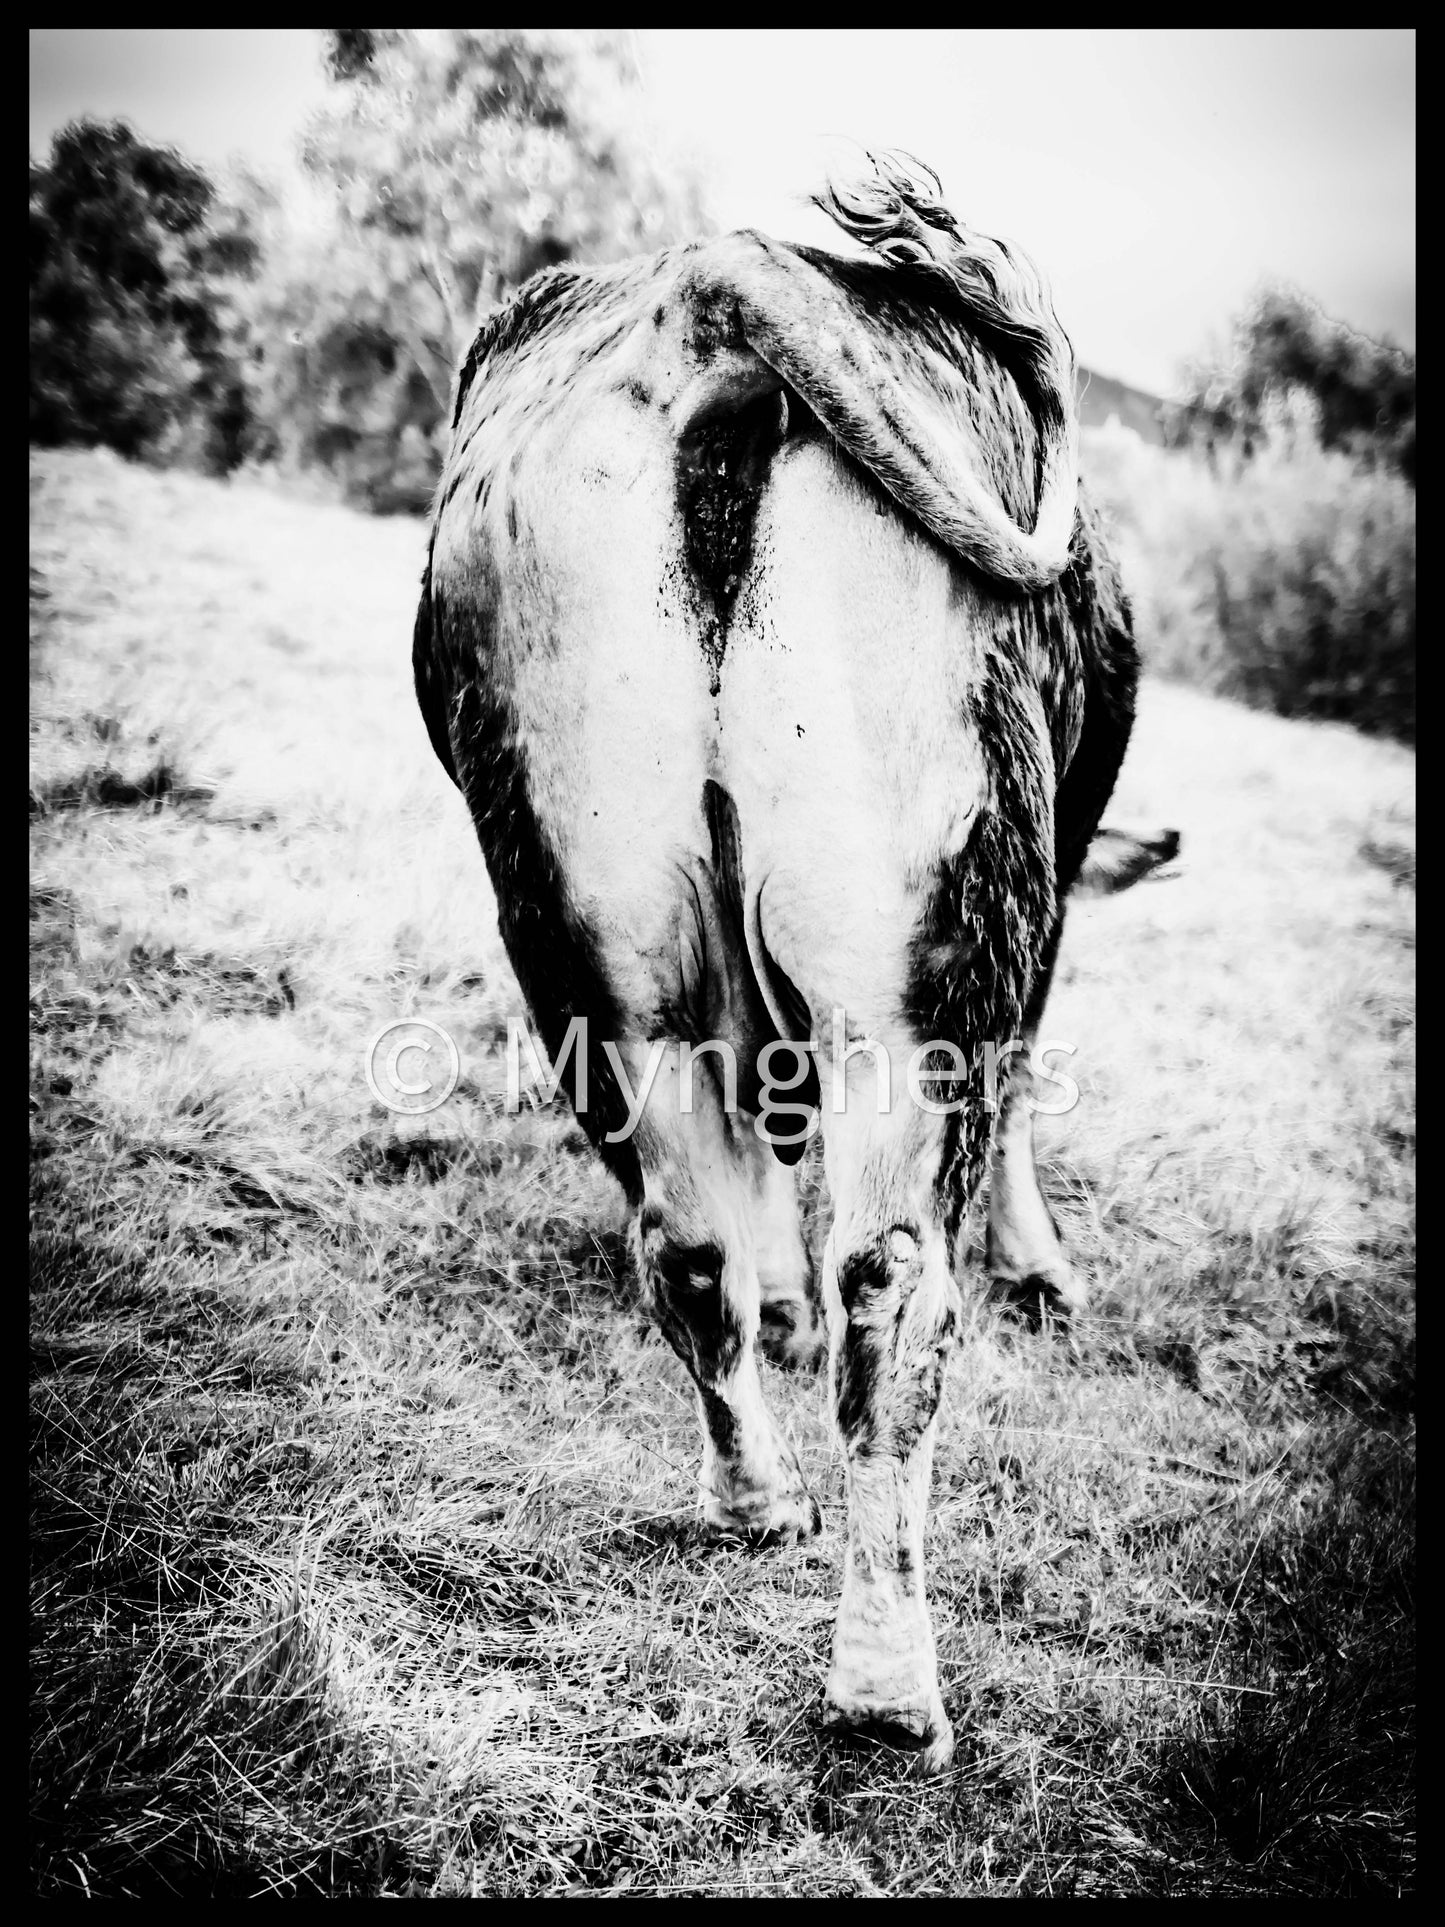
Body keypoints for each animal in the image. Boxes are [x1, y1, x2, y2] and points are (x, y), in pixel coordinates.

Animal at [416, 158, 1156, 1765]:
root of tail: (712, 286)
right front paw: (1041, 1262)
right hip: (931, 939)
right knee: (893, 1280)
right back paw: (885, 1686)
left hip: (583, 933)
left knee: (688, 1241)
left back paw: (754, 1496)